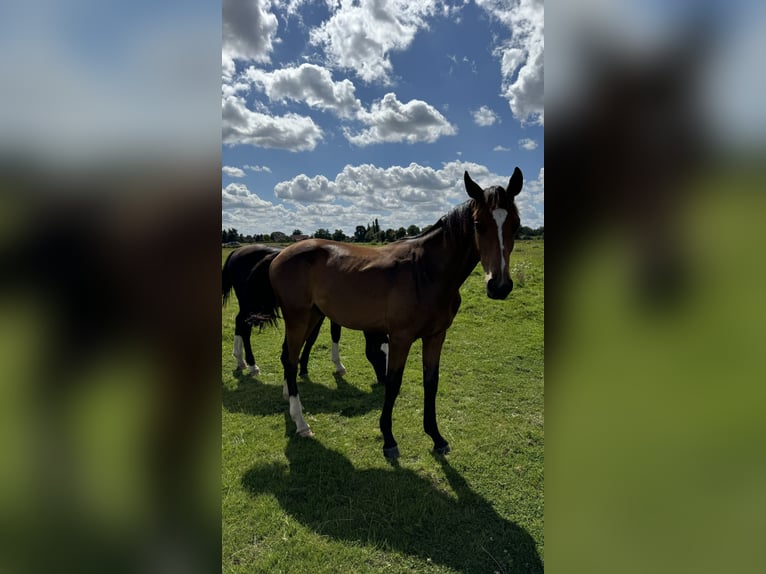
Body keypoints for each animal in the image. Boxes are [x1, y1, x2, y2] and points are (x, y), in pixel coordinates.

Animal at [222, 245, 390, 384]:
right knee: (244, 328)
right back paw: (252, 366)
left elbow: (317, 337)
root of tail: (236, 252)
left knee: (239, 322)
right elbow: (324, 335)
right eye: (378, 352)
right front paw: (336, 365)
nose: (384, 380)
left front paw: (305, 367)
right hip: (248, 305)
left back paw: (240, 360)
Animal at [249, 169, 524, 462]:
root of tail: (281, 253)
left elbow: (431, 382)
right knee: (290, 361)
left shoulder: (435, 336)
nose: (499, 286)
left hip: (311, 316)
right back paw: (302, 423)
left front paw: (436, 437)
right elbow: (393, 383)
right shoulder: (401, 338)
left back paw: (288, 401)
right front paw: (389, 440)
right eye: (478, 224)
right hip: (298, 318)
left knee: (286, 357)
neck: (426, 271)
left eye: (516, 224)